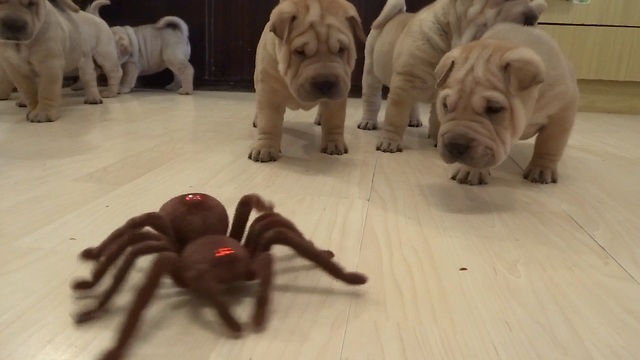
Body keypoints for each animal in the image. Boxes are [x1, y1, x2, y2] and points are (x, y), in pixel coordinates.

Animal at [436, 22, 580, 186]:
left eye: (494, 108)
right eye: (445, 106)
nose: (455, 145)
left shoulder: (561, 115)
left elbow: (549, 144)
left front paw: (541, 169)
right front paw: (470, 170)